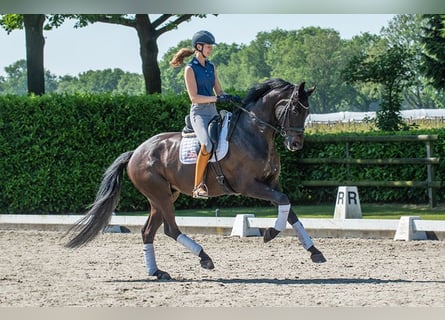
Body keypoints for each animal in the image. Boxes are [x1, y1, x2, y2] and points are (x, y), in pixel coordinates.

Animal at [63, 78, 326, 280]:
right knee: (170, 229)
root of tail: (135, 152)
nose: (296, 144)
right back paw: (204, 257)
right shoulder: (249, 185)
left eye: (307, 111)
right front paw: (271, 233)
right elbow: (284, 202)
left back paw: (157, 272)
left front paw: (314, 251)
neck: (254, 133)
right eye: (295, 110)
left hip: (162, 196)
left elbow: (289, 210)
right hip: (159, 194)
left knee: (148, 231)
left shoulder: (271, 183)